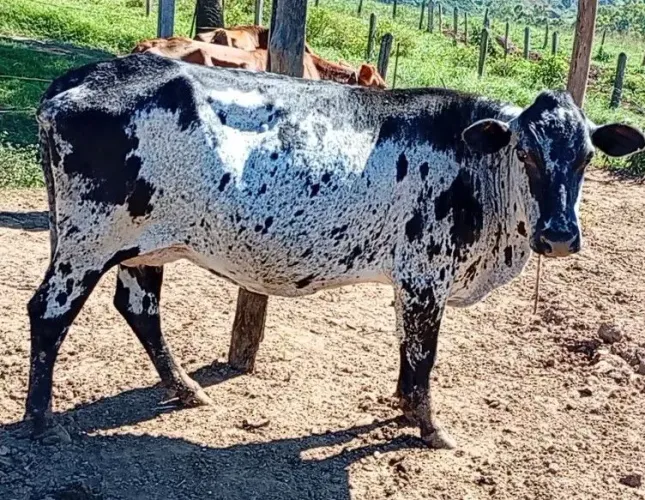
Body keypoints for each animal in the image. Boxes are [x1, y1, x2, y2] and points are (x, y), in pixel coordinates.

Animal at [27, 54, 644, 448]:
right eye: (525, 153)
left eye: (586, 156)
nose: (559, 235)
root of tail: (74, 82)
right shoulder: (427, 276)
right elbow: (424, 354)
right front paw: (430, 428)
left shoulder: (410, 282)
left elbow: (407, 349)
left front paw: (403, 406)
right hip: (88, 241)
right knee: (49, 313)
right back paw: (42, 421)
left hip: (143, 246)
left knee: (139, 309)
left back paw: (186, 390)